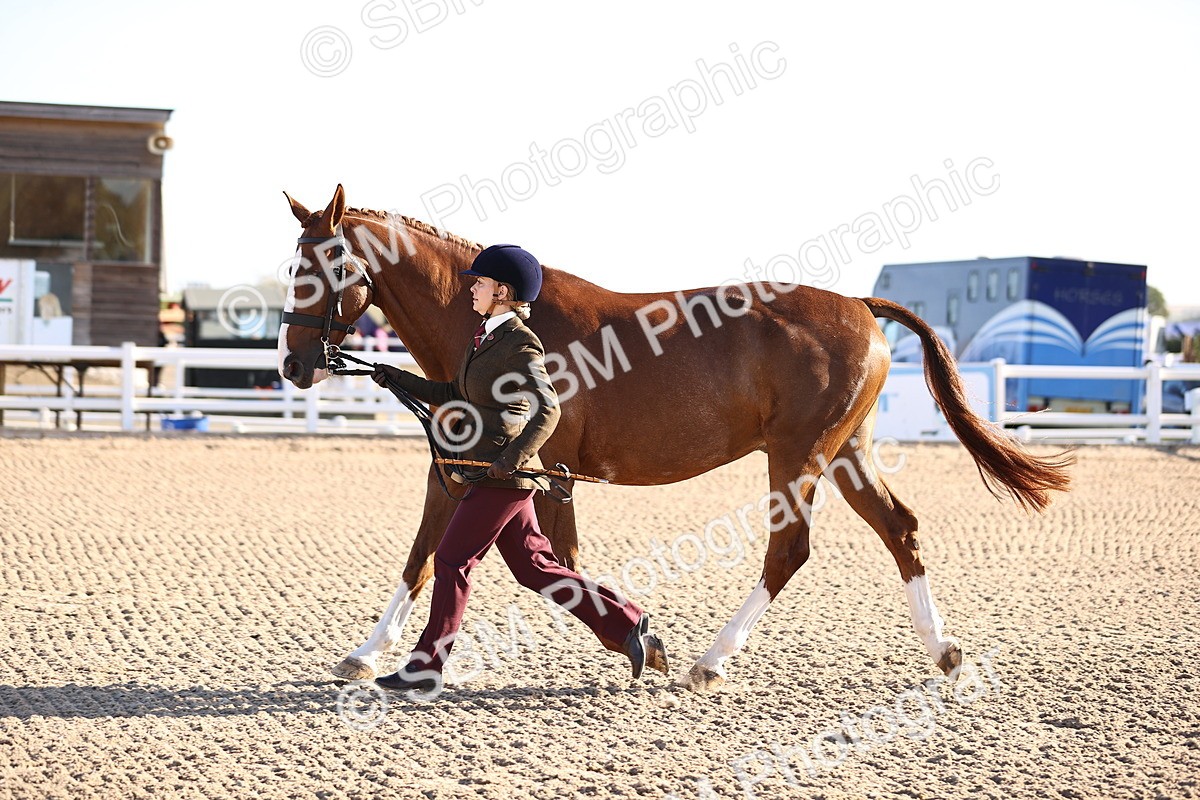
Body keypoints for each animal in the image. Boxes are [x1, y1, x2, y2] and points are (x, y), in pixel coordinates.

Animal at [277, 185, 1072, 692]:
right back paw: (946, 653)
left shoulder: (545, 469)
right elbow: (425, 558)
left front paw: (637, 640)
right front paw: (366, 654)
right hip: (847, 453)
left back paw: (711, 662)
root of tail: (858, 304)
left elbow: (552, 564)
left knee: (789, 550)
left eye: (331, 265)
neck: (494, 329)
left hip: (798, 456)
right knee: (899, 529)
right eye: (293, 263)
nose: (293, 363)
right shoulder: (459, 466)